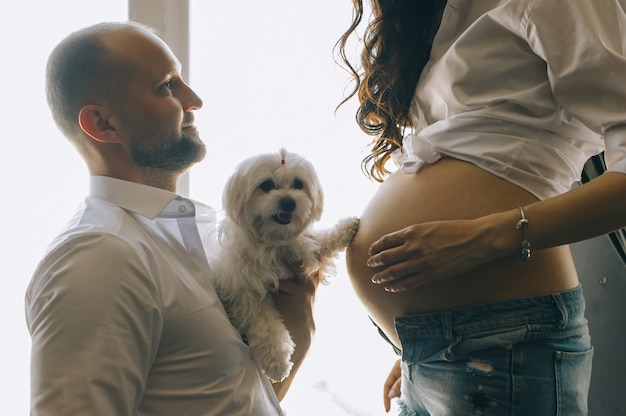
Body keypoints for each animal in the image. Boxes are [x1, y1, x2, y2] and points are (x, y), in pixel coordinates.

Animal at [208, 148, 358, 382]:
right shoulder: (246, 293)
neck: (274, 241)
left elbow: (320, 243)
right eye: (267, 185)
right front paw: (278, 363)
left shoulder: (303, 251)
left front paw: (347, 228)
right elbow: (267, 326)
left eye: (298, 184)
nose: (289, 202)